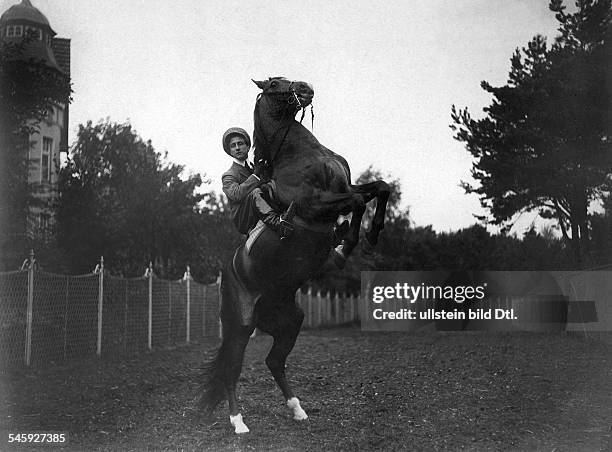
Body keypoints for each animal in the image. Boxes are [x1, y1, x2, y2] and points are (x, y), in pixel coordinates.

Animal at [202, 77, 392, 434]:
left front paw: (370, 235)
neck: (301, 155)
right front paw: (345, 245)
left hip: (290, 320)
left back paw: (298, 409)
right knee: (233, 367)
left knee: (274, 361)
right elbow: (358, 202)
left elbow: (379, 189)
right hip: (241, 324)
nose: (305, 88)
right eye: (275, 83)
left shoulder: (346, 188)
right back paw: (238, 423)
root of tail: (229, 274)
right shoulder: (316, 204)